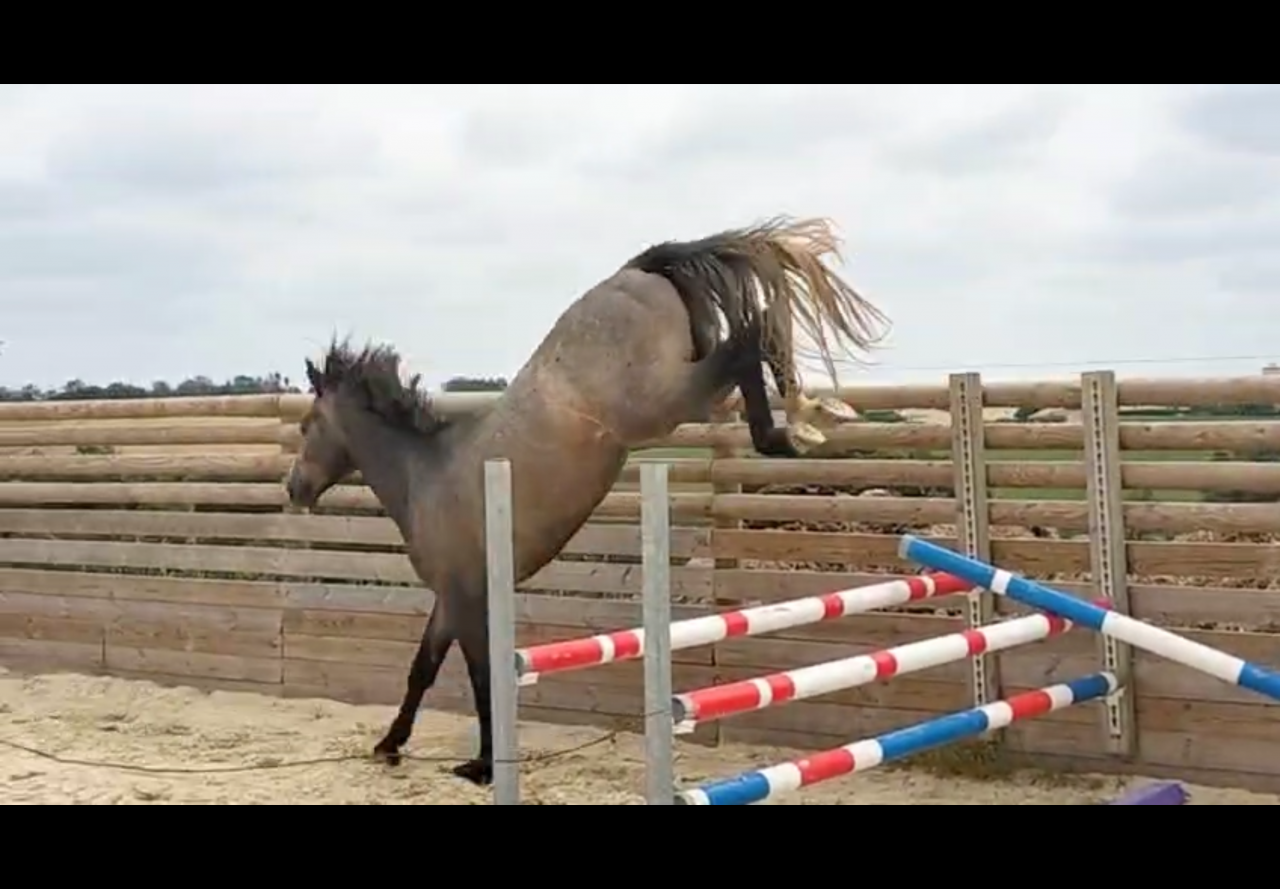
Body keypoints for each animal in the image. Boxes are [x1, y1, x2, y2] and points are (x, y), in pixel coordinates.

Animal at [285, 217, 888, 785]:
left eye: (307, 425)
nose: (294, 488)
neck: (425, 477)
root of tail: (635, 271)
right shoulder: (451, 600)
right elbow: (423, 668)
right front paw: (390, 745)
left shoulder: (467, 598)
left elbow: (481, 677)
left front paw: (483, 765)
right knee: (752, 335)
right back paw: (808, 418)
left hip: (664, 401)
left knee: (750, 338)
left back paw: (798, 425)